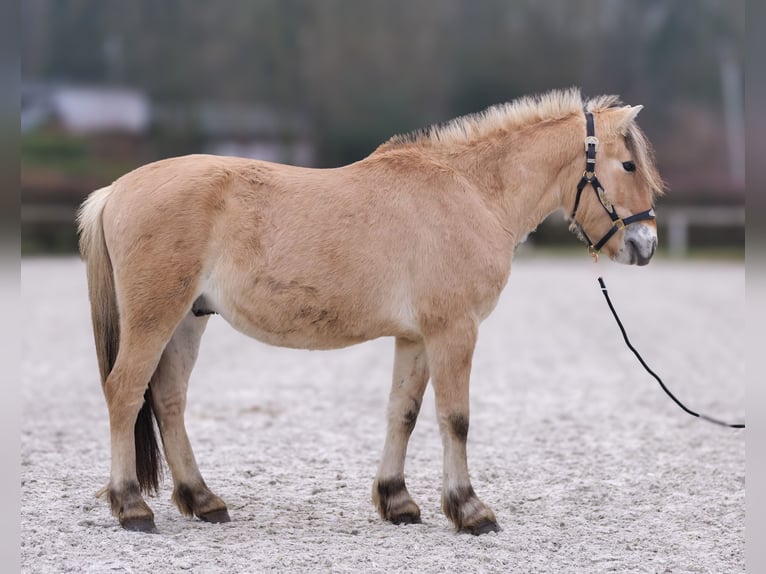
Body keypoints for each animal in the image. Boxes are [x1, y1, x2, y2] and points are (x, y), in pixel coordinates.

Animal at [76, 88, 664, 536]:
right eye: (628, 164)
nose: (645, 245)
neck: (470, 192)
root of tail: (116, 190)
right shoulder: (454, 331)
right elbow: (455, 419)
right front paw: (470, 510)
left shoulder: (417, 337)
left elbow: (402, 412)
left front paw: (397, 501)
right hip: (155, 317)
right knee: (125, 392)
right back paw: (132, 506)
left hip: (186, 320)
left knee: (168, 400)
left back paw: (203, 500)